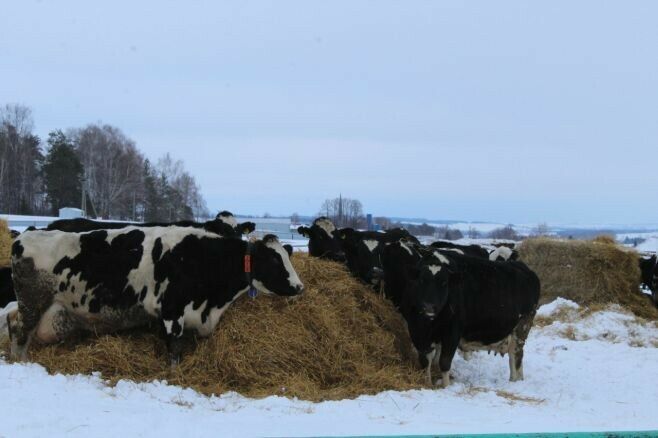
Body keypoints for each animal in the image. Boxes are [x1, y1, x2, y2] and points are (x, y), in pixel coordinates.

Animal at [8, 228, 302, 364]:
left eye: (287, 257)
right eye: (275, 261)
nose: (299, 287)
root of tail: (26, 236)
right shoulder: (172, 311)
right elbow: (174, 350)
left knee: (12, 321)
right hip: (32, 303)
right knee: (19, 332)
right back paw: (21, 362)